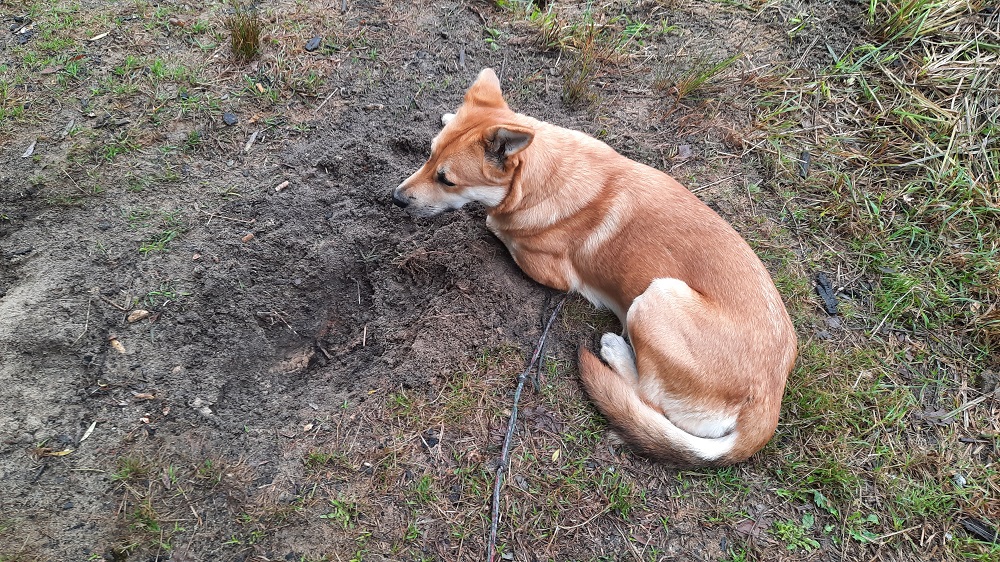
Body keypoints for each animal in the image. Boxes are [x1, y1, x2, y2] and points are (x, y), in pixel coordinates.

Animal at [390, 69, 796, 464]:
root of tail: (767, 403)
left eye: (447, 180)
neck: (541, 175)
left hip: (657, 297)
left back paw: (615, 351)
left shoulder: (547, 268)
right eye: (428, 156)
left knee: (647, 396)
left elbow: (496, 225)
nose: (396, 199)